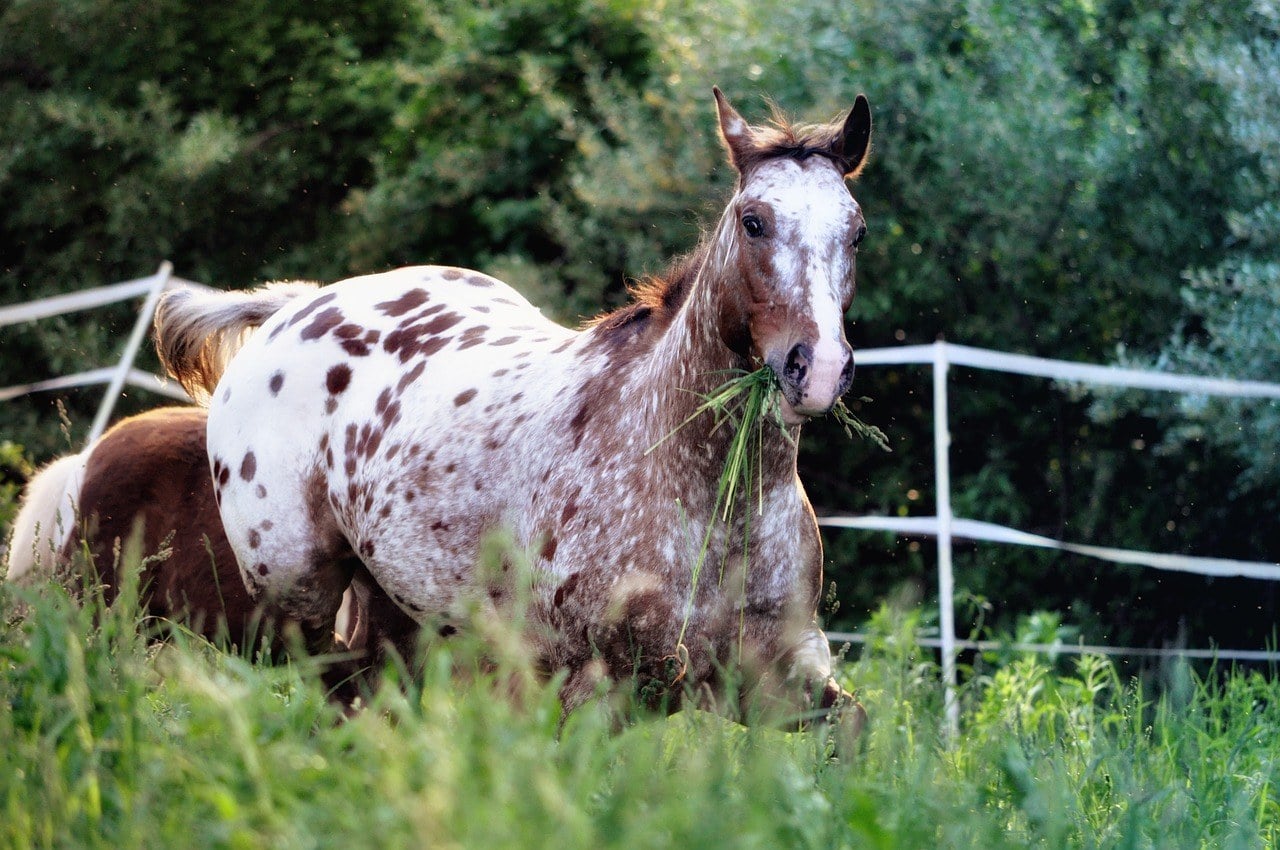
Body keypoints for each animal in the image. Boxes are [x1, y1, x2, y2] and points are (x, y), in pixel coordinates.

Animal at [149, 87, 870, 732]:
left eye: (856, 232)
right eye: (754, 221)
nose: (816, 368)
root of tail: (297, 304)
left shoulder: (784, 676)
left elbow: (851, 734)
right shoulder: (598, 685)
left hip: (395, 605)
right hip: (295, 598)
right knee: (332, 688)